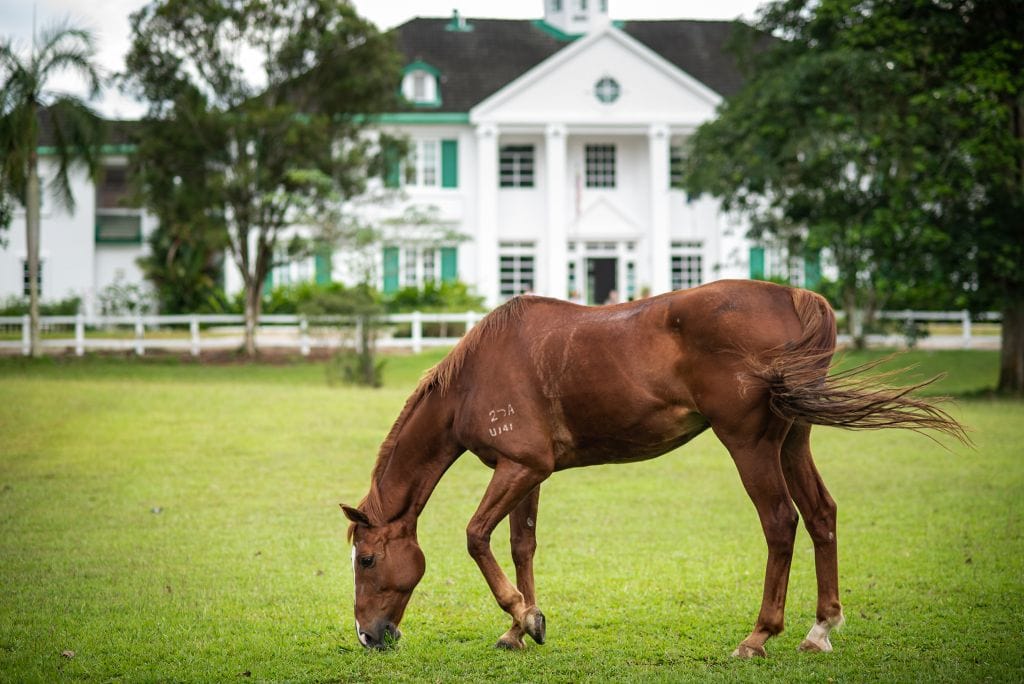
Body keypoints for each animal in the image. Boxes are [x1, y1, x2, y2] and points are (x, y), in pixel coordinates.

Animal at [339, 278, 962, 655]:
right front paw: (522, 626)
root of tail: (793, 296)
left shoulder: (518, 469)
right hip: (793, 440)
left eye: (367, 559)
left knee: (781, 523)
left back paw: (758, 637)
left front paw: (521, 616)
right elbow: (520, 545)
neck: (474, 377)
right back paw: (821, 628)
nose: (368, 635)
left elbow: (475, 536)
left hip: (751, 445)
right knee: (820, 515)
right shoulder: (526, 471)